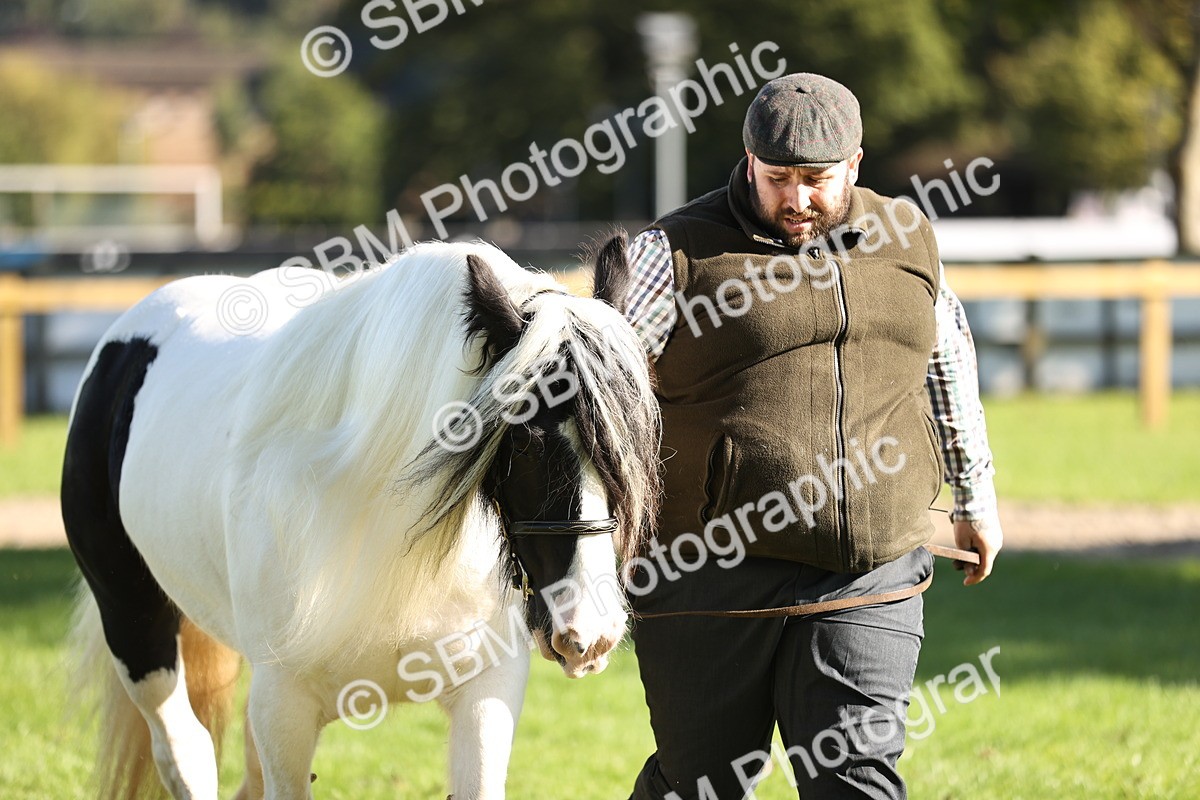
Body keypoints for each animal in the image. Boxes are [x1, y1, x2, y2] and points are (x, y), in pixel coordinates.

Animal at [62, 234, 660, 799]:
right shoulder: (283, 706)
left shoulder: (487, 689)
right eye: (526, 439)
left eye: (637, 437)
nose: (590, 631)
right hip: (134, 626)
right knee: (184, 750)